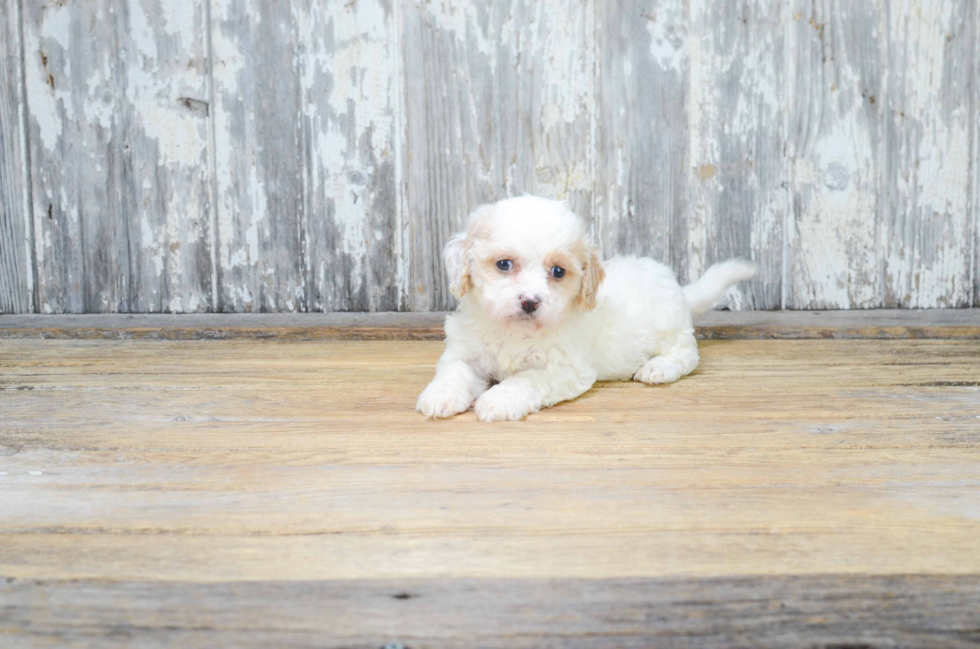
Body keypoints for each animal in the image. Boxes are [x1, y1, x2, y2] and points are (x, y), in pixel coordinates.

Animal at [418, 196, 756, 420]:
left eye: (558, 272)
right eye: (503, 264)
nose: (530, 301)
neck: (513, 331)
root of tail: (676, 286)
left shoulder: (564, 368)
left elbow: (527, 379)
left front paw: (499, 399)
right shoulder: (464, 352)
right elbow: (454, 371)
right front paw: (440, 396)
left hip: (671, 329)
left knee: (687, 355)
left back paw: (657, 368)